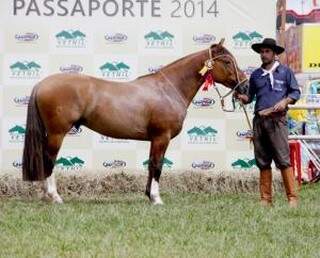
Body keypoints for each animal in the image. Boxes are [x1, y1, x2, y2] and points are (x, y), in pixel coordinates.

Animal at [21, 38, 248, 204]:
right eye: (227, 62)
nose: (245, 87)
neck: (168, 89)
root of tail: (41, 84)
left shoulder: (155, 139)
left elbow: (151, 165)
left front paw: (149, 196)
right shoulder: (161, 137)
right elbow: (157, 165)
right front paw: (156, 199)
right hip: (57, 133)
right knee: (49, 159)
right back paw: (55, 197)